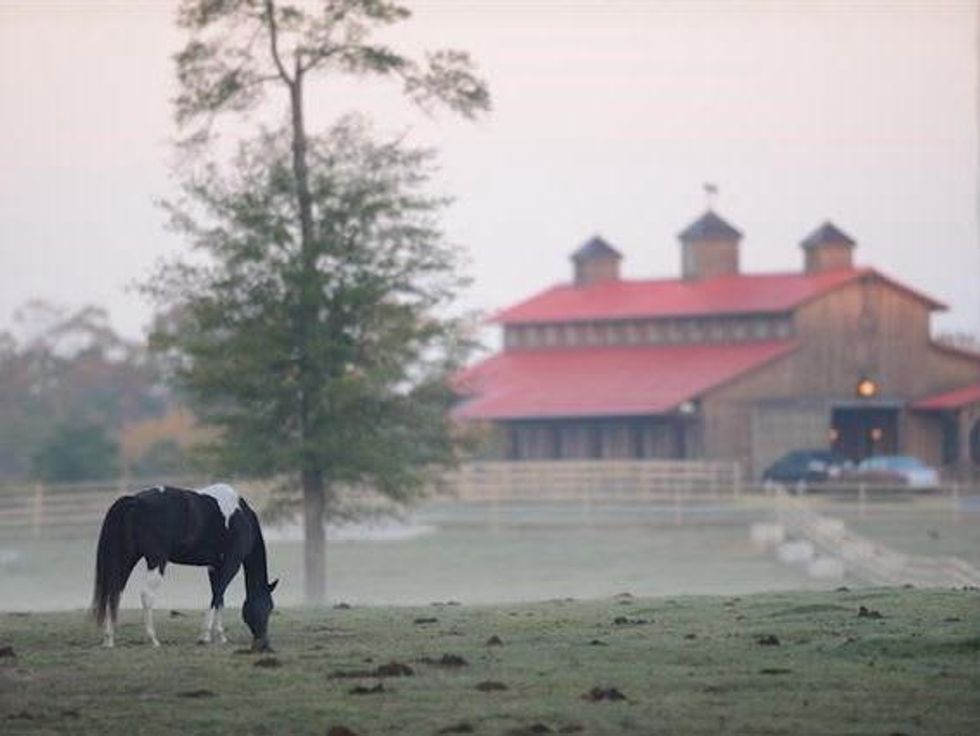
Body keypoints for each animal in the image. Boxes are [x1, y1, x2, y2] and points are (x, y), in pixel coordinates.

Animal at [91, 483, 278, 651]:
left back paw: (109, 638)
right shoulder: (231, 563)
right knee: (146, 595)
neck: (241, 516)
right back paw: (153, 639)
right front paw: (205, 636)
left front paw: (221, 636)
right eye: (268, 607)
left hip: (127, 559)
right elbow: (217, 594)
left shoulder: (214, 567)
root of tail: (134, 500)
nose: (264, 643)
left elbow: (219, 598)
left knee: (115, 592)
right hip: (157, 561)